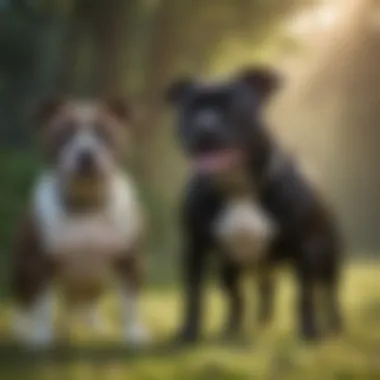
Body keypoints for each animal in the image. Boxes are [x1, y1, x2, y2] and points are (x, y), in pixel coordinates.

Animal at [10, 98, 147, 348]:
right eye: (64, 133)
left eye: (105, 132)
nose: (86, 153)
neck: (87, 206)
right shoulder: (40, 262)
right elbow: (42, 304)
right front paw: (40, 337)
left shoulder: (130, 261)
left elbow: (129, 303)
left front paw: (133, 334)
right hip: (20, 269)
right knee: (25, 301)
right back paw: (23, 326)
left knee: (88, 303)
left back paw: (93, 324)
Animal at [166, 67, 342, 342]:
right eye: (191, 108)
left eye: (232, 106)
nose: (205, 125)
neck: (238, 186)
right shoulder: (195, 247)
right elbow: (195, 295)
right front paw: (189, 334)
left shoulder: (305, 246)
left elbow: (305, 295)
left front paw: (309, 334)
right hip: (232, 266)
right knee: (243, 295)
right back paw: (236, 328)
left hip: (327, 255)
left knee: (328, 291)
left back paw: (334, 325)